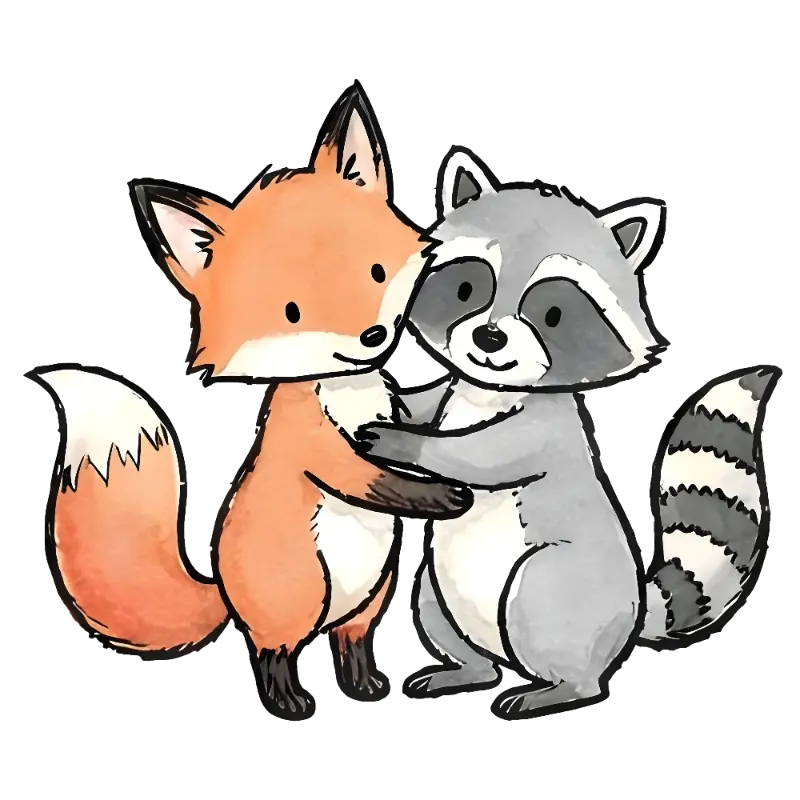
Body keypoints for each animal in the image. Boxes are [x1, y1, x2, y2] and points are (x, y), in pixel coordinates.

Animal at [27, 84, 473, 721]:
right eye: (291, 311)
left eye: (375, 272)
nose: (373, 338)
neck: (347, 389)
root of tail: (223, 587)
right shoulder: (314, 445)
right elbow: (370, 477)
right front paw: (443, 496)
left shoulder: (389, 406)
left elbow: (410, 420)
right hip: (299, 596)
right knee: (271, 654)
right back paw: (291, 703)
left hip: (371, 596)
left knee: (350, 643)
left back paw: (364, 686)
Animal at [358, 145, 782, 719]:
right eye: (467, 289)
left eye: (553, 314)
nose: (489, 339)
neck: (487, 390)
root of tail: (635, 611)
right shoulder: (454, 391)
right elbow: (427, 403)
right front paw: (394, 399)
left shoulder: (546, 430)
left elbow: (481, 457)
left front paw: (406, 442)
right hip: (439, 591)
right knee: (436, 604)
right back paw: (468, 669)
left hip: (567, 590)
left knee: (545, 604)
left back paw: (561, 688)